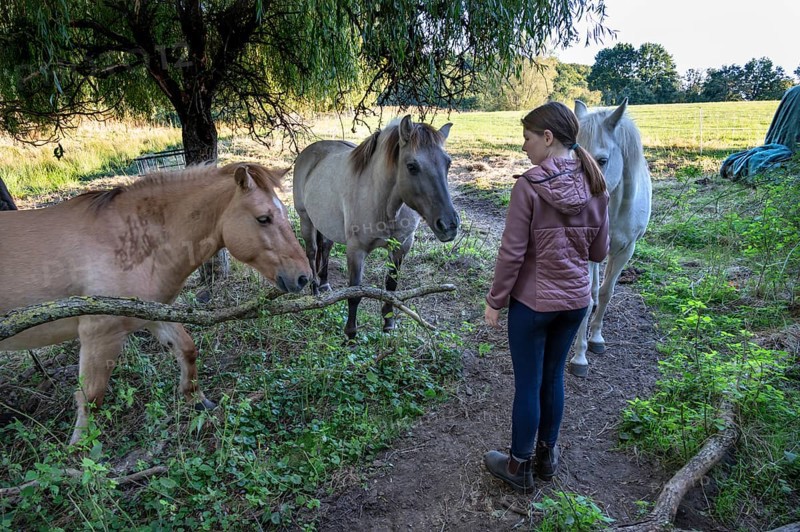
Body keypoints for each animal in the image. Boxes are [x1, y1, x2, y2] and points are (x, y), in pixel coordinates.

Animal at [0, 163, 311, 444]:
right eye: (263, 218)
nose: (304, 277)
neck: (126, 242)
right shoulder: (99, 333)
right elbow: (91, 396)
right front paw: (80, 450)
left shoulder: (152, 313)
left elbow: (186, 349)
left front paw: (197, 399)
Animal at [293, 115, 459, 340]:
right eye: (412, 166)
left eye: (448, 163)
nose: (449, 225)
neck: (384, 204)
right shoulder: (356, 251)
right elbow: (354, 293)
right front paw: (350, 334)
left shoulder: (401, 247)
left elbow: (391, 287)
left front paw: (388, 324)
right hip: (306, 220)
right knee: (311, 252)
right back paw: (315, 291)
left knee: (325, 248)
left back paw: (325, 285)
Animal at [569, 99, 652, 377]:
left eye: (602, 160)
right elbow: (587, 297)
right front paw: (580, 356)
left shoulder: (626, 250)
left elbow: (608, 292)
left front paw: (596, 338)